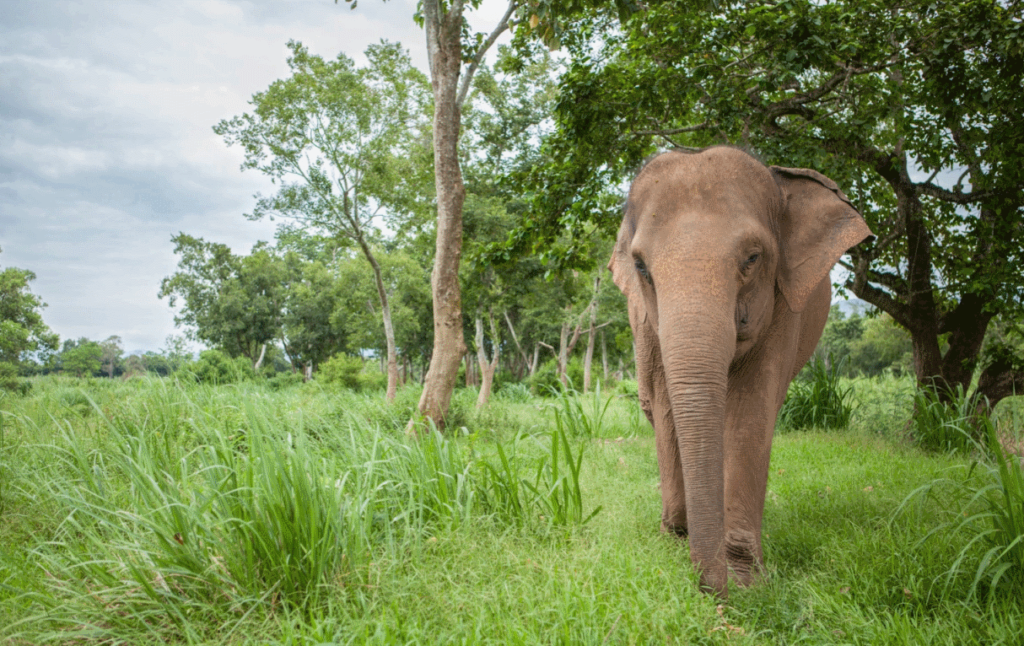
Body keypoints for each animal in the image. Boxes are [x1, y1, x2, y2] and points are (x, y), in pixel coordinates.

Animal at [606, 145, 872, 597]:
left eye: (752, 258)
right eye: (641, 267)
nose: (713, 592)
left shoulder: (785, 304)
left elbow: (752, 407)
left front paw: (746, 580)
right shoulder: (645, 319)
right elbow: (667, 403)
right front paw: (678, 540)